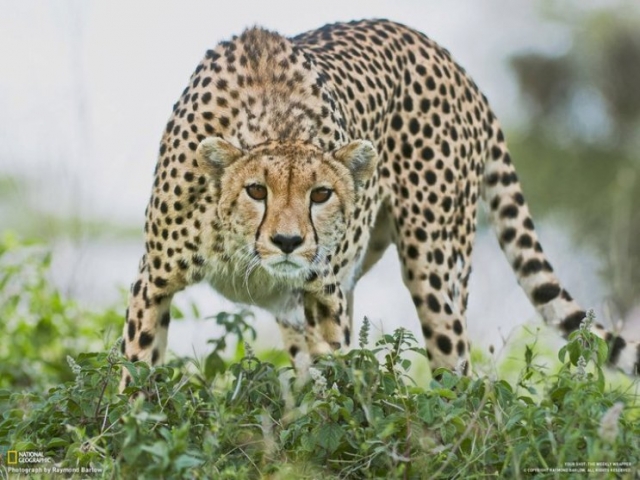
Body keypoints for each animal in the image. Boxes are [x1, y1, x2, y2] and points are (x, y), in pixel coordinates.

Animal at [119, 18, 636, 390]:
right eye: (256, 191)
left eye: (320, 194)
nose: (287, 241)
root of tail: (452, 64)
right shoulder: (153, 282)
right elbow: (136, 371)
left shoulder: (325, 296)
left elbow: (335, 384)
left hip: (435, 268)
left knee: (461, 380)